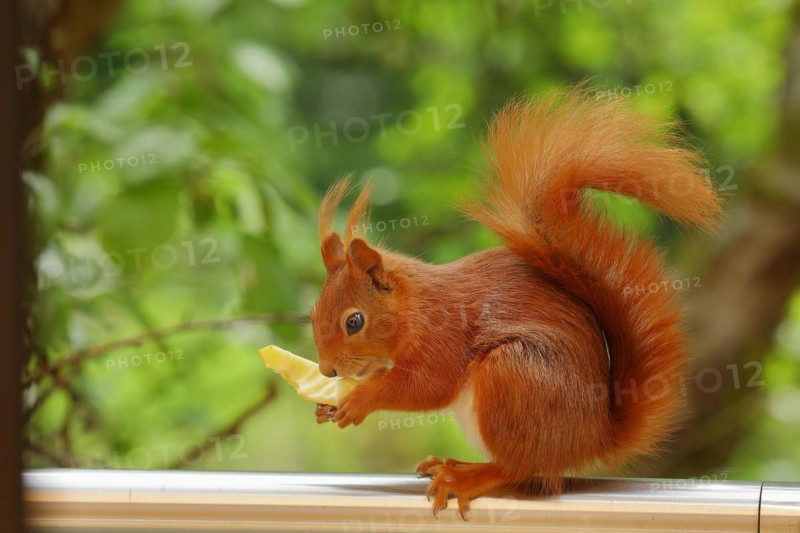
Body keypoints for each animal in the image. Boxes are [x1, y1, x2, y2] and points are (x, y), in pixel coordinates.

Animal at [310, 87, 721, 520]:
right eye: (314, 313)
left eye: (354, 321)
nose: (327, 369)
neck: (414, 308)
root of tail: (593, 439)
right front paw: (328, 404)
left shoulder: (443, 336)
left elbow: (427, 386)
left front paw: (360, 400)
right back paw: (452, 463)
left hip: (513, 375)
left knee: (521, 468)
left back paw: (467, 476)